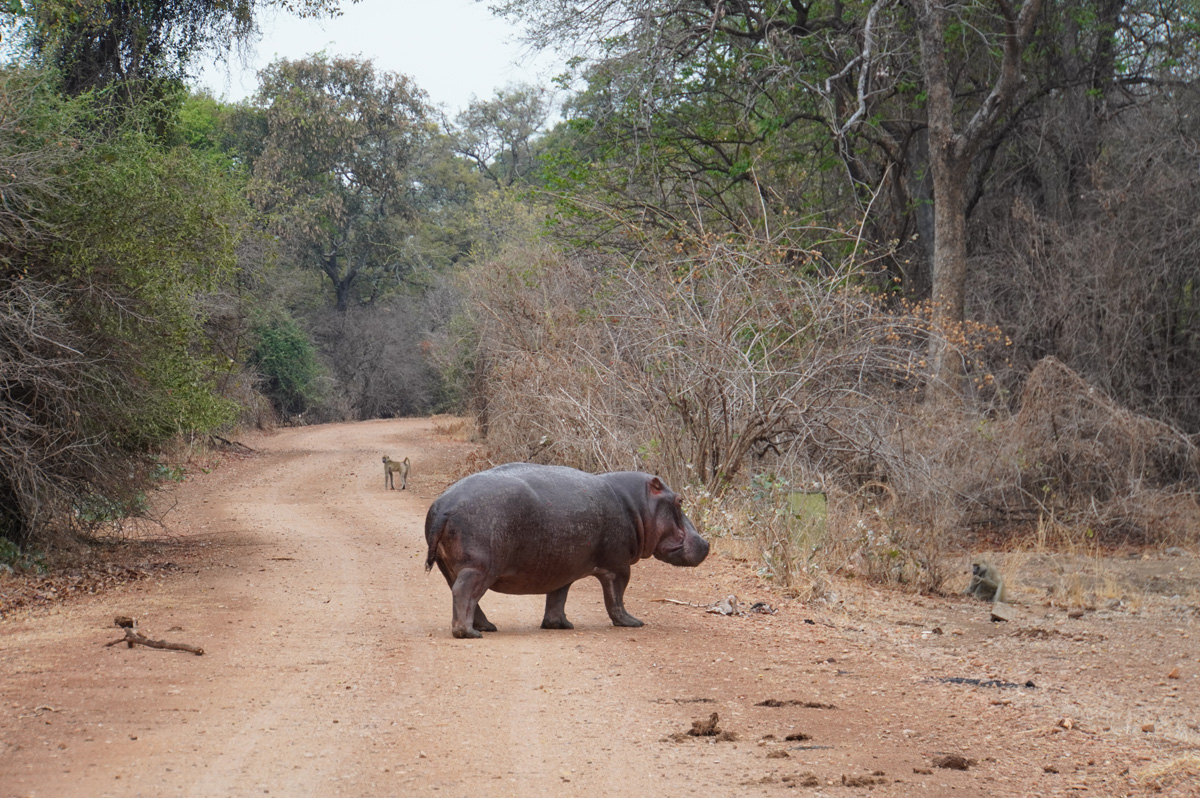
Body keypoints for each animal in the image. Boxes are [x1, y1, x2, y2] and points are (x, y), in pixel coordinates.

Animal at [424, 463, 710, 638]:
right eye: (679, 500)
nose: (706, 544)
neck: (638, 505)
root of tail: (443, 505)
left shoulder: (562, 568)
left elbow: (557, 598)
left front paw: (560, 626)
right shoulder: (618, 567)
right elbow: (616, 598)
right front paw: (633, 622)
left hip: (451, 568)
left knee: (465, 595)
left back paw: (487, 627)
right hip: (479, 567)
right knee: (464, 593)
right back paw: (470, 633)